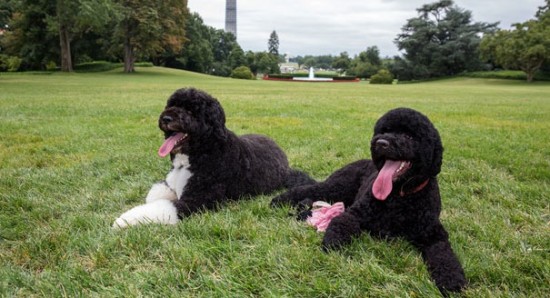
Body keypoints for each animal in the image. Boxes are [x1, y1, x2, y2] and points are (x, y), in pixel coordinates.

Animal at [114, 88, 314, 228]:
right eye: (171, 104)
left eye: (191, 111)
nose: (166, 118)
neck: (201, 152)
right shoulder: (171, 183)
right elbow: (156, 194)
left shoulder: (199, 199)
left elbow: (164, 206)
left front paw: (124, 220)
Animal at [272, 107, 466, 296]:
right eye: (384, 131)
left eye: (409, 136)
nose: (381, 143)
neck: (399, 196)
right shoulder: (355, 214)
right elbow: (341, 223)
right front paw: (333, 243)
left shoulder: (433, 233)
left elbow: (444, 255)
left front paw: (451, 279)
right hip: (337, 187)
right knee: (308, 189)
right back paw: (278, 200)